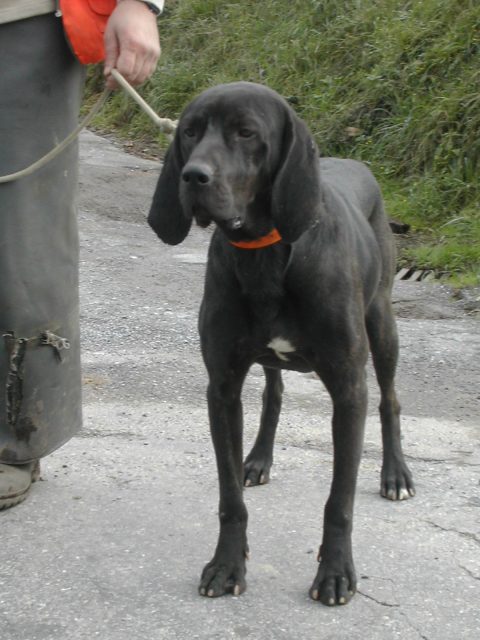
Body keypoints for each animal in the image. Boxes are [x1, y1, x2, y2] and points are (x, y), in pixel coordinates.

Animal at [148, 81, 414, 604]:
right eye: (189, 131)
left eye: (246, 132)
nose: (193, 176)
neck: (265, 253)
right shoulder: (222, 388)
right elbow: (229, 495)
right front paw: (227, 564)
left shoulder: (349, 390)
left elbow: (339, 501)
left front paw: (335, 572)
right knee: (274, 394)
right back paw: (258, 458)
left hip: (382, 325)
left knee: (391, 399)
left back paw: (395, 474)